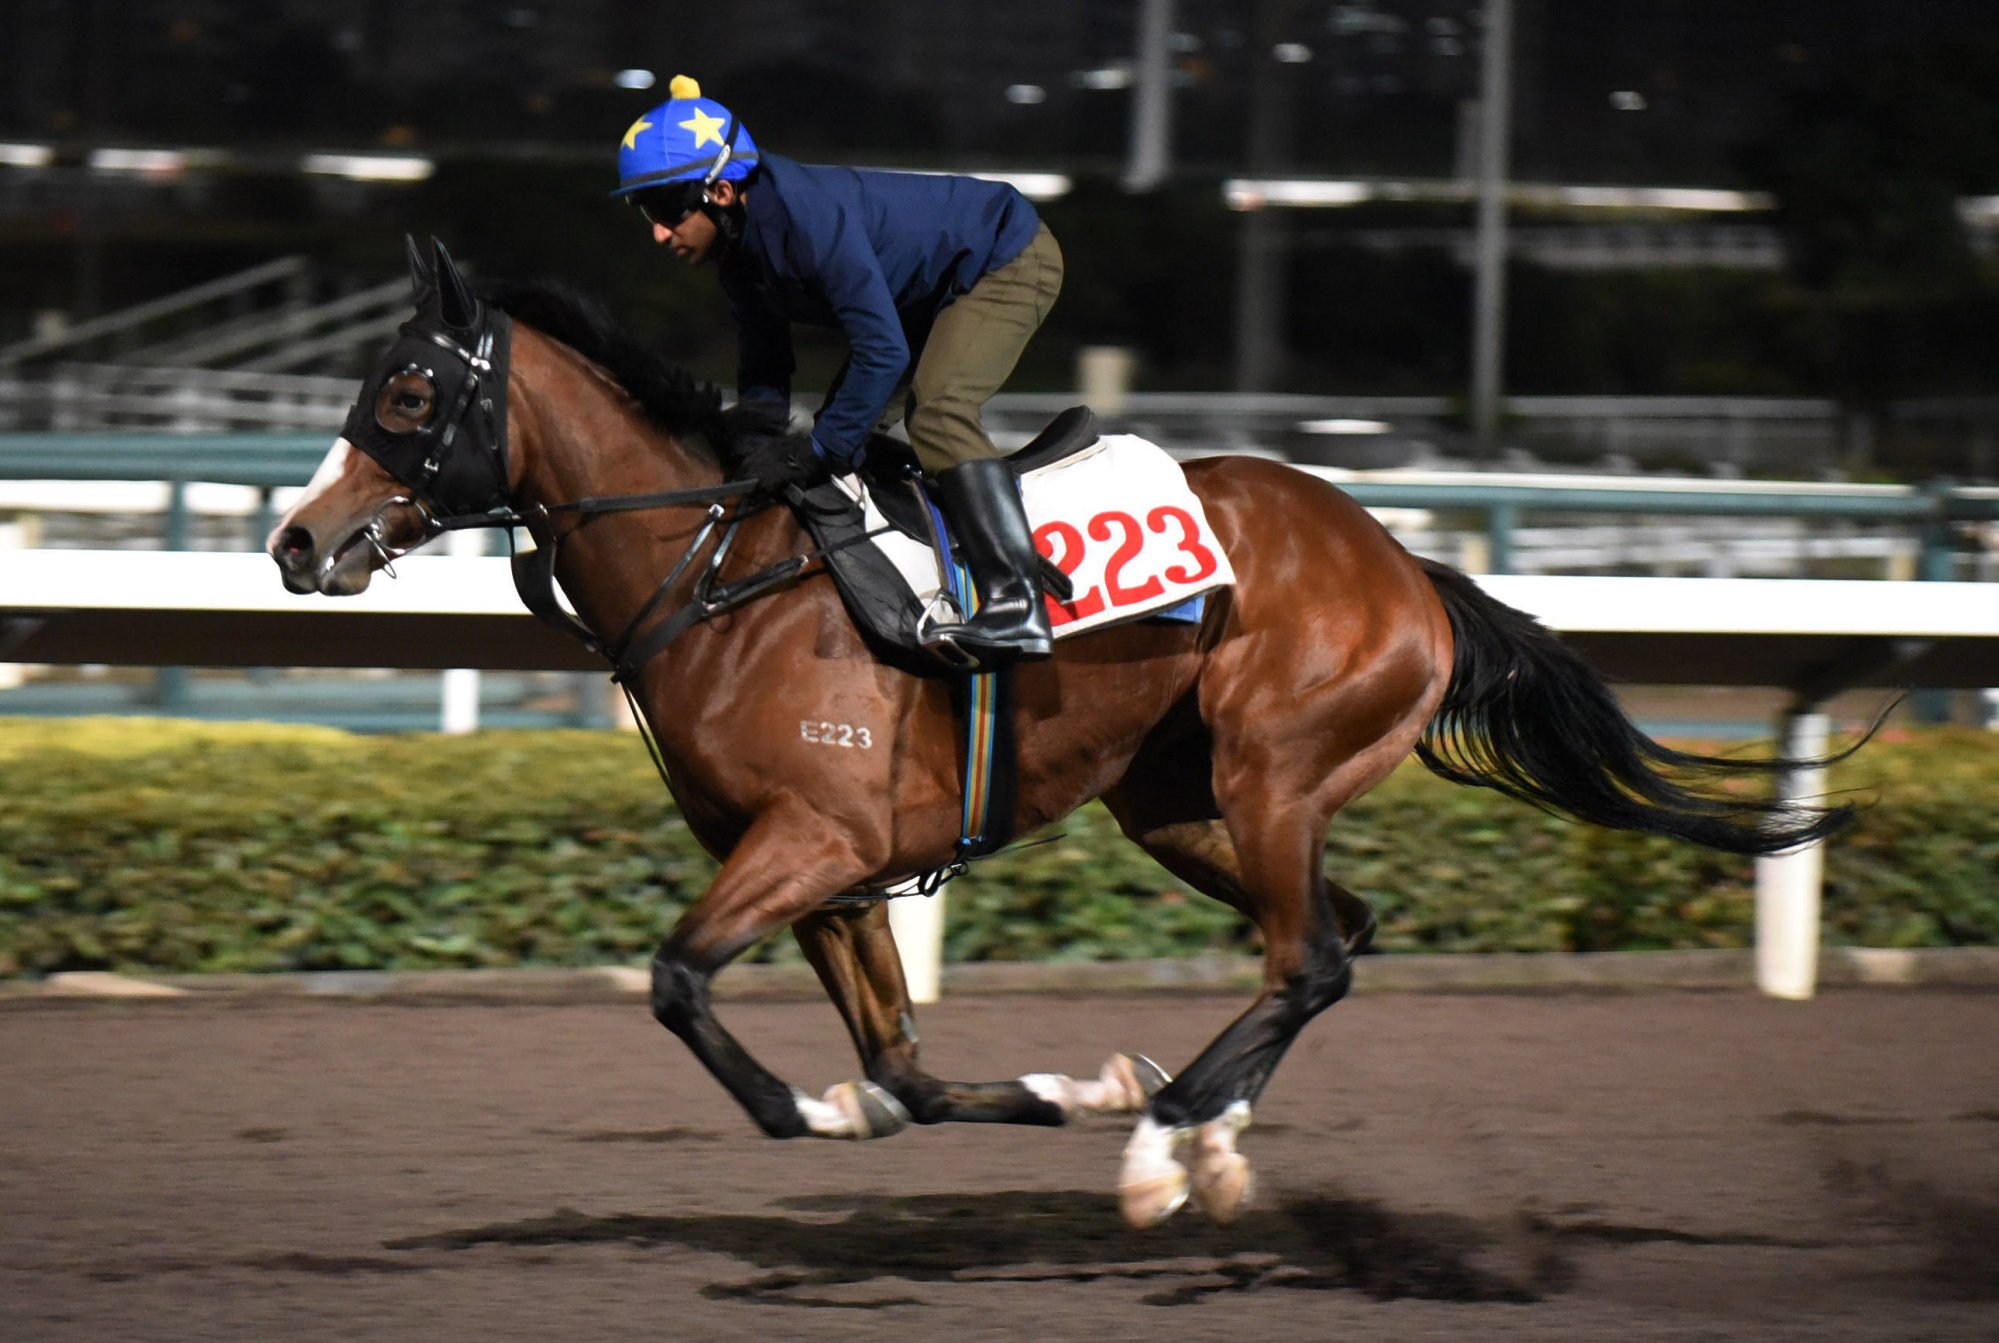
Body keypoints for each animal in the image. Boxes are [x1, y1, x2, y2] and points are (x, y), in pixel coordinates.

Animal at [269, 241, 1855, 1231]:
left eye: (407, 391)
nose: (295, 542)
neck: (721, 576)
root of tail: (1406, 564)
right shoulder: (828, 873)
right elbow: (905, 1072)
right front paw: (1048, 1087)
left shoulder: (813, 840)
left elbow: (675, 983)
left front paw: (831, 1111)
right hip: (1177, 805)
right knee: (1330, 937)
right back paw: (1202, 1134)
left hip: (1276, 770)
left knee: (1311, 953)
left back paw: (1164, 1150)